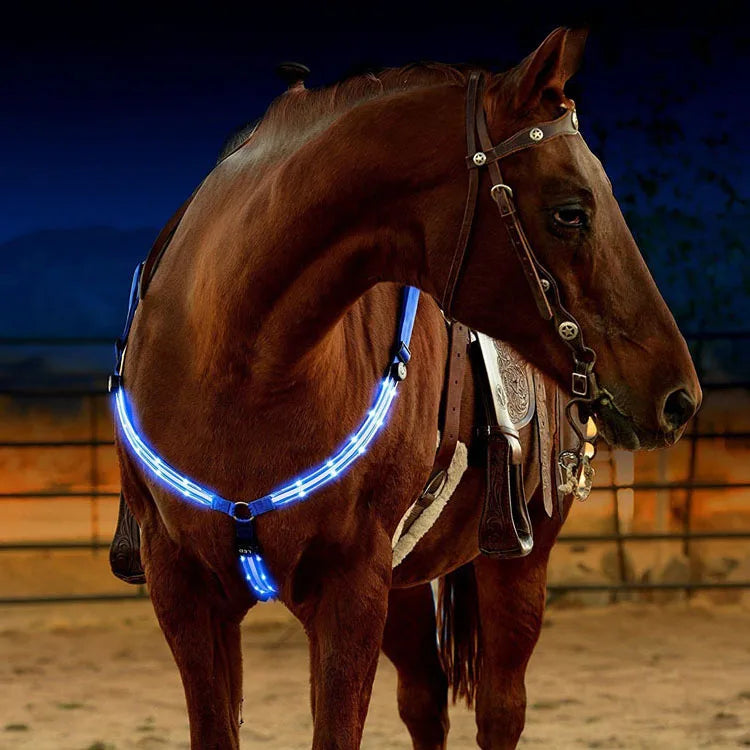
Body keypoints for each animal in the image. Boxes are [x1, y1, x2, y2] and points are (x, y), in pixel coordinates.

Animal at [112, 27, 701, 749]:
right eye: (570, 212)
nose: (678, 396)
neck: (238, 369)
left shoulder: (351, 587)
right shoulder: (185, 590)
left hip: (517, 561)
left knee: (501, 708)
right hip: (407, 587)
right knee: (425, 700)